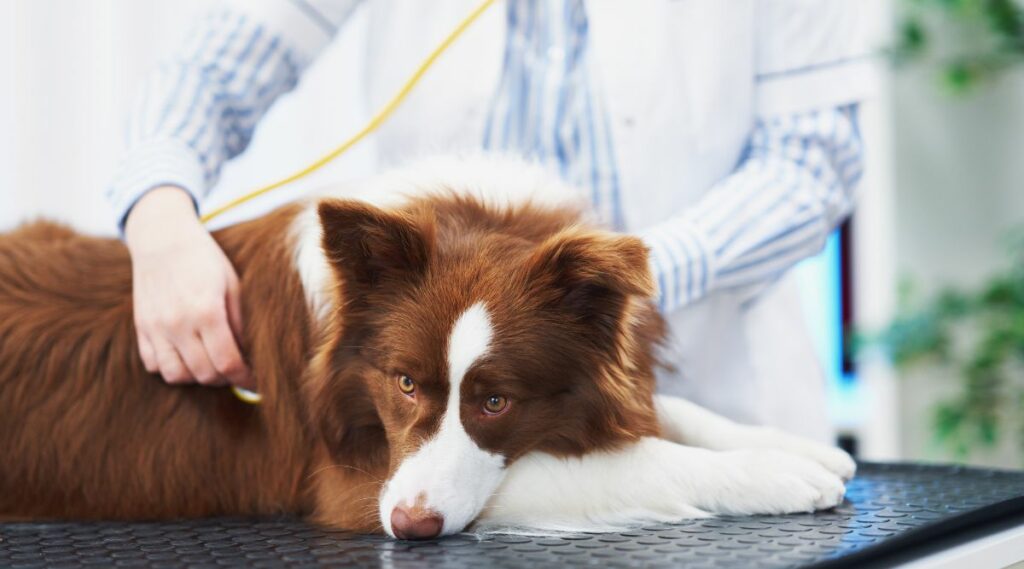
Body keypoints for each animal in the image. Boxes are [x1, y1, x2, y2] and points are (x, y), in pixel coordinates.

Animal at [2, 155, 856, 536]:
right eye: (404, 383)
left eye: (496, 398)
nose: (411, 526)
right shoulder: (354, 479)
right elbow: (629, 459)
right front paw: (775, 471)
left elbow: (666, 411)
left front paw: (792, 444)